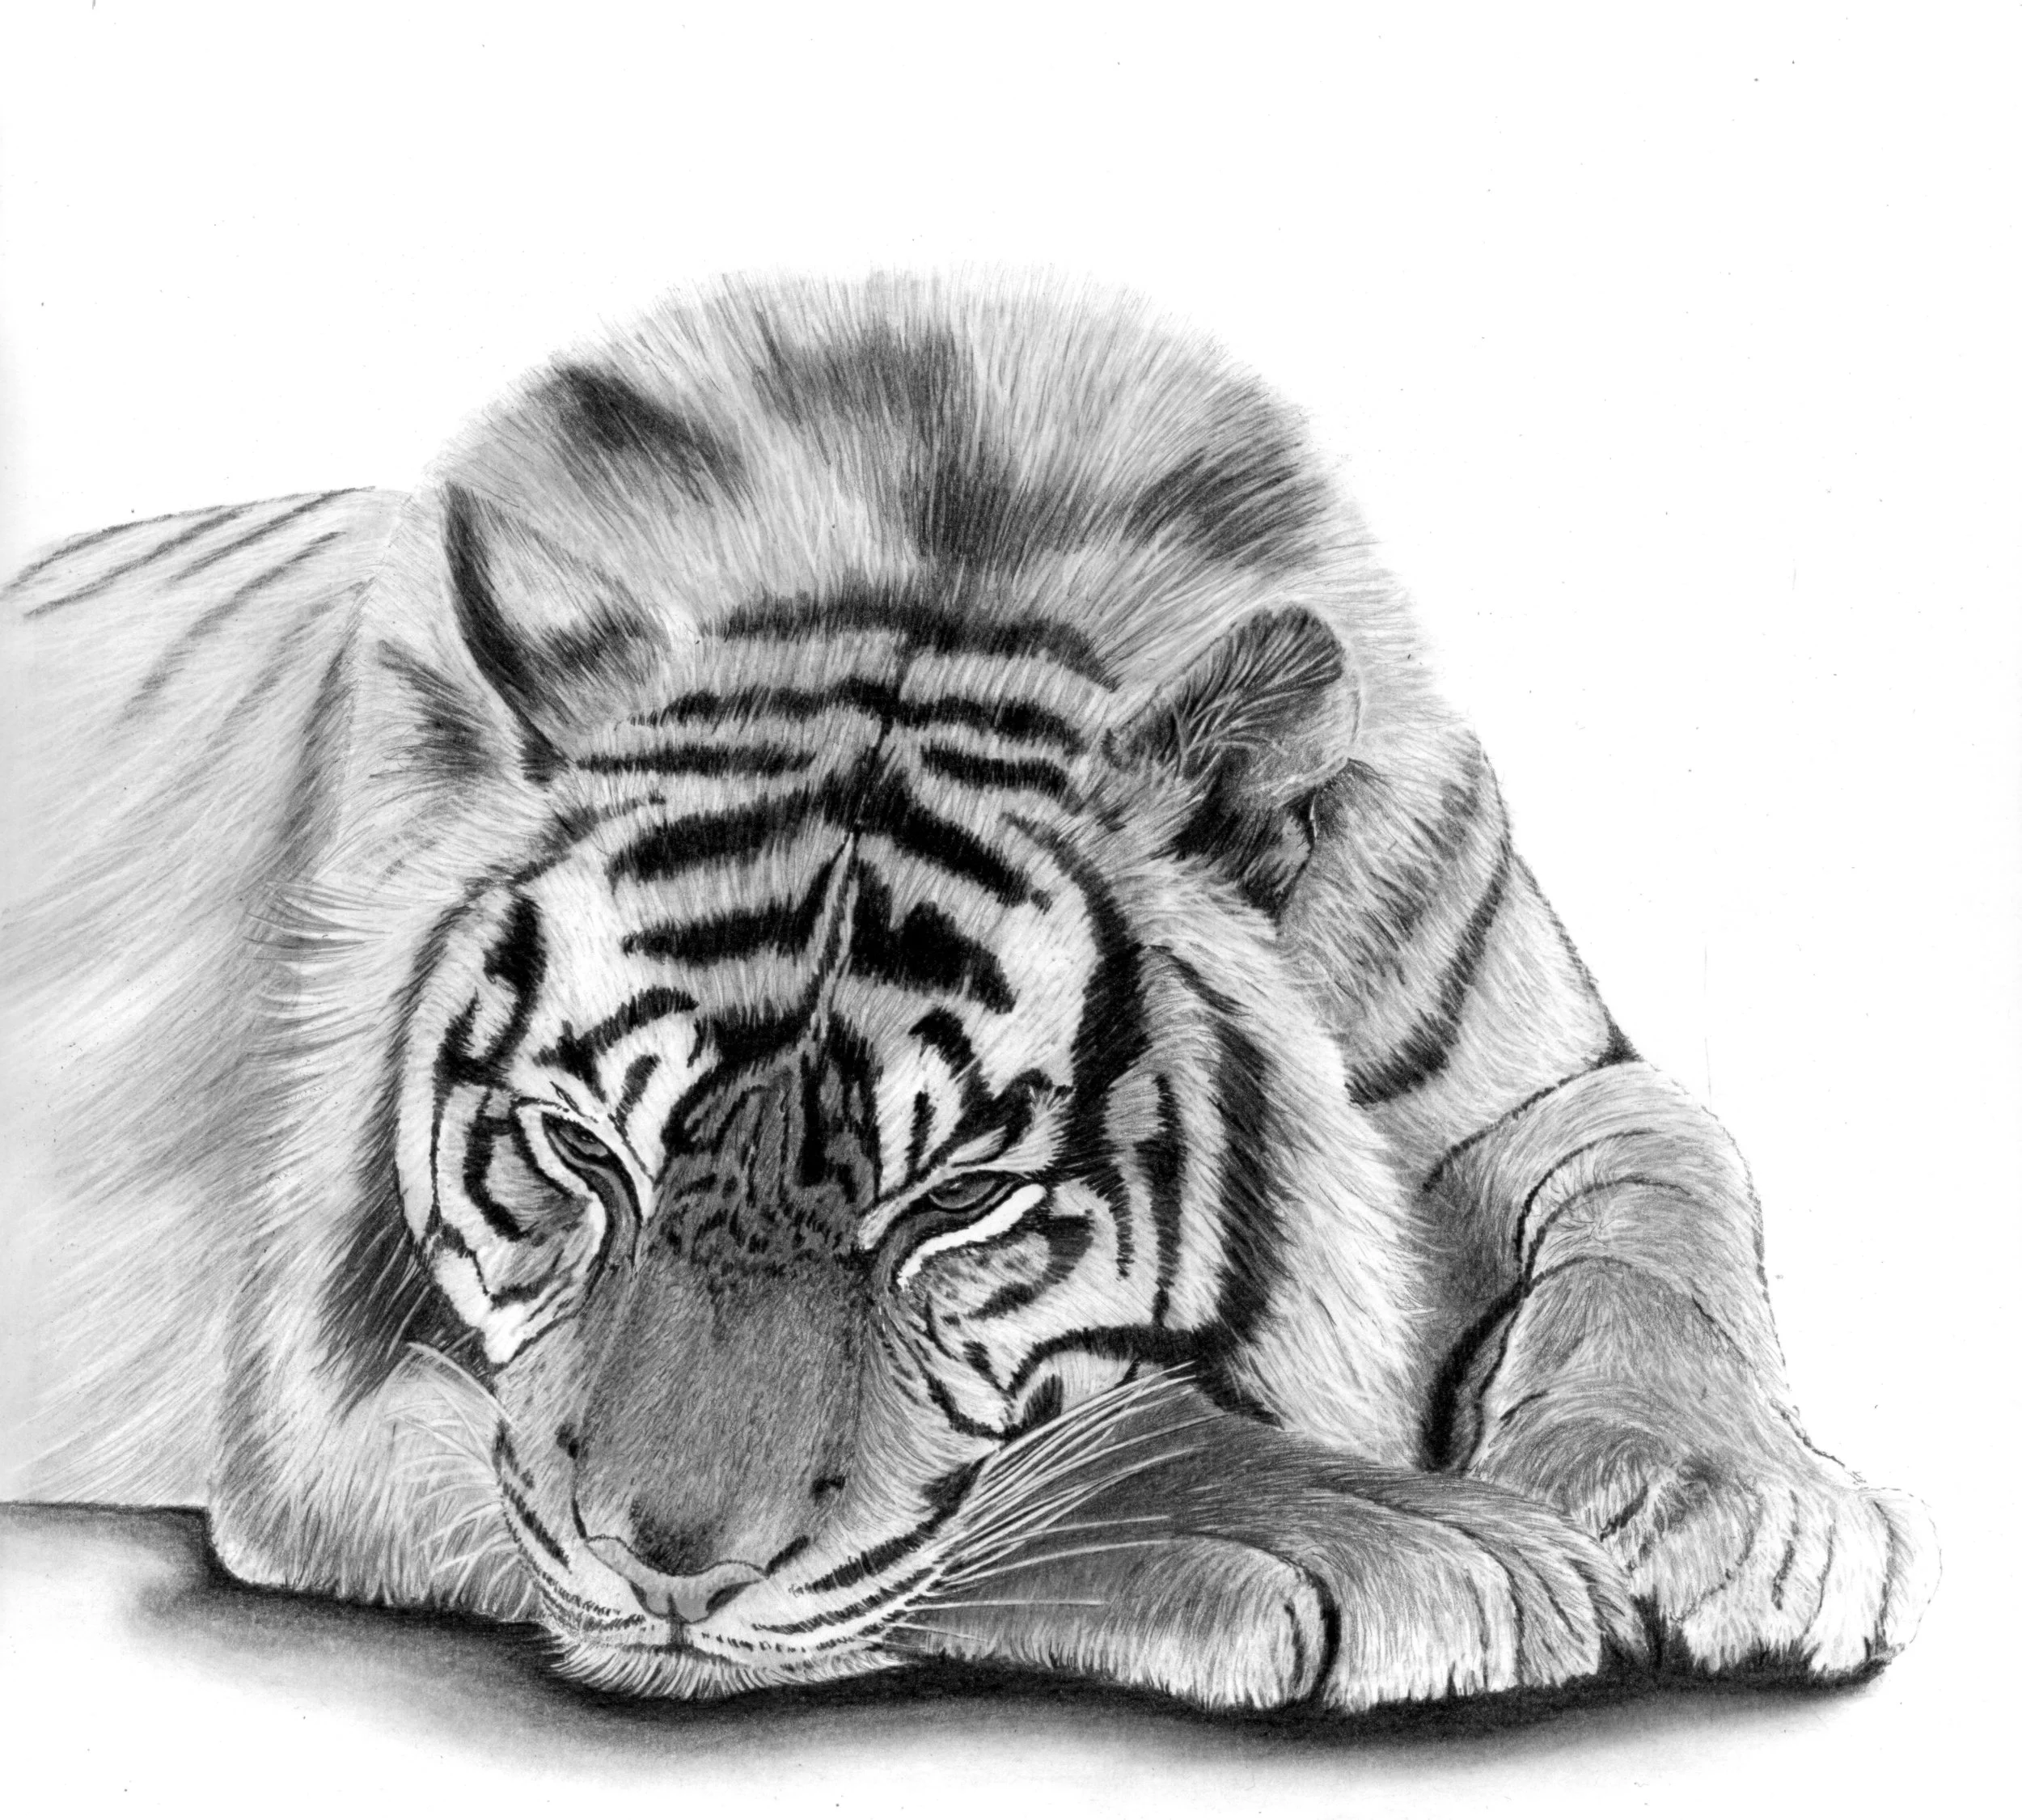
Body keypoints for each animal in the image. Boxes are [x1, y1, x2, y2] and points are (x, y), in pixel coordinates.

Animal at [0, 274, 1935, 1713]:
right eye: (577, 1152)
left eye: (963, 1204)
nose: (660, 1568)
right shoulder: (331, 1398)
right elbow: (1110, 1442)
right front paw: (1409, 1545)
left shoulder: (1523, 1055)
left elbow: (1668, 1160)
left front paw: (1725, 1510)